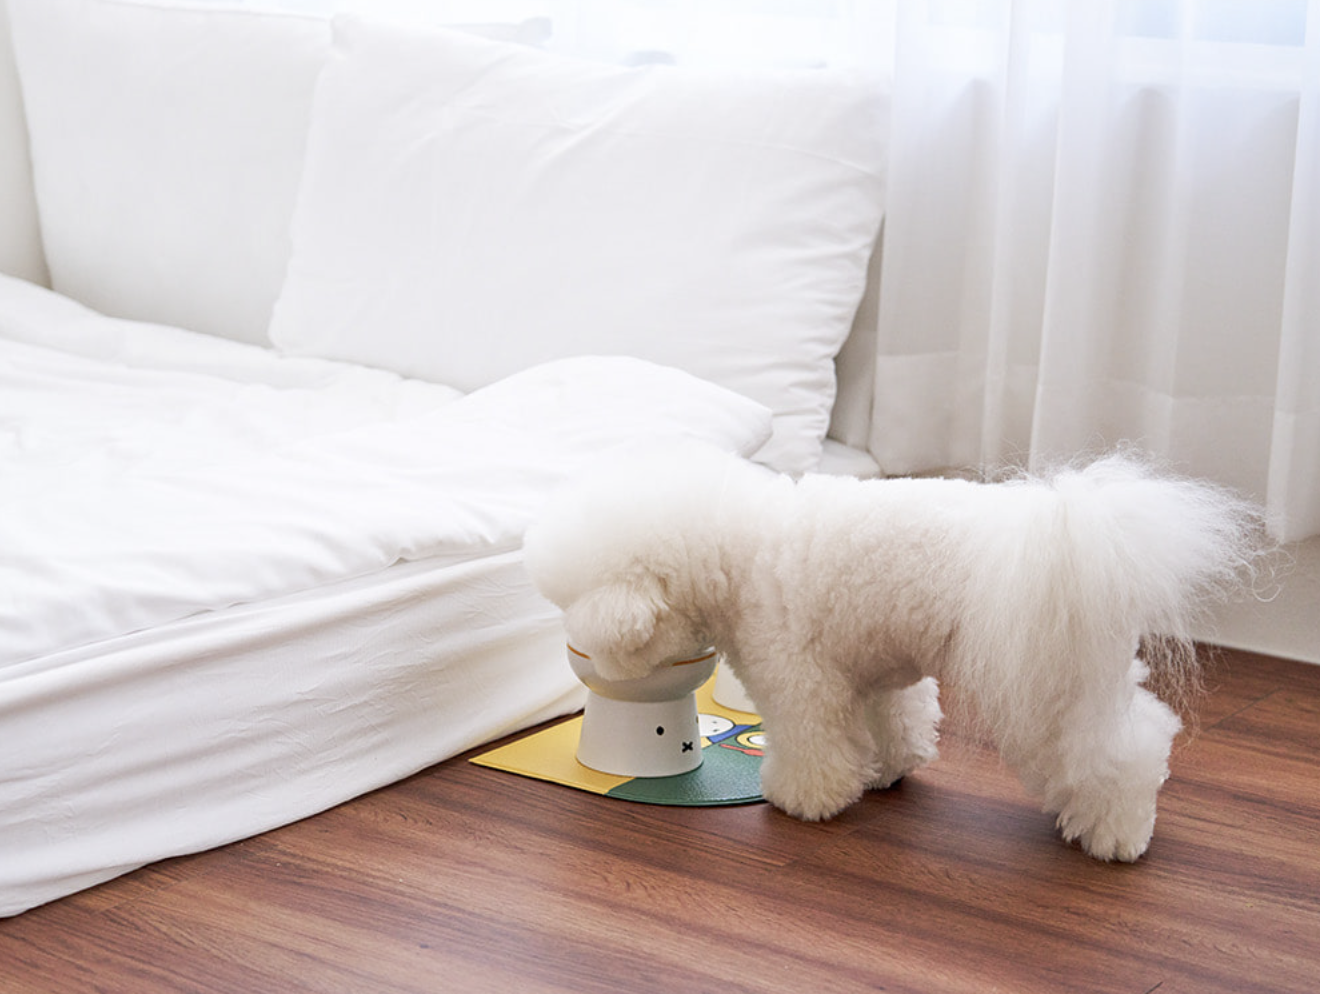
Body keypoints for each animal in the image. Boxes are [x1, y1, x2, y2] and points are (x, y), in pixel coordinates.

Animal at [522, 443, 1256, 860]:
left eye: (575, 602)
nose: (578, 649)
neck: (734, 546)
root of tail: (1072, 537)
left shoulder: (798, 677)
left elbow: (812, 745)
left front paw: (803, 800)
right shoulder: (876, 674)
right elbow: (895, 725)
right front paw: (884, 771)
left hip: (1047, 690)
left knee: (1120, 757)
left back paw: (1117, 838)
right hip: (1092, 675)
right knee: (1143, 732)